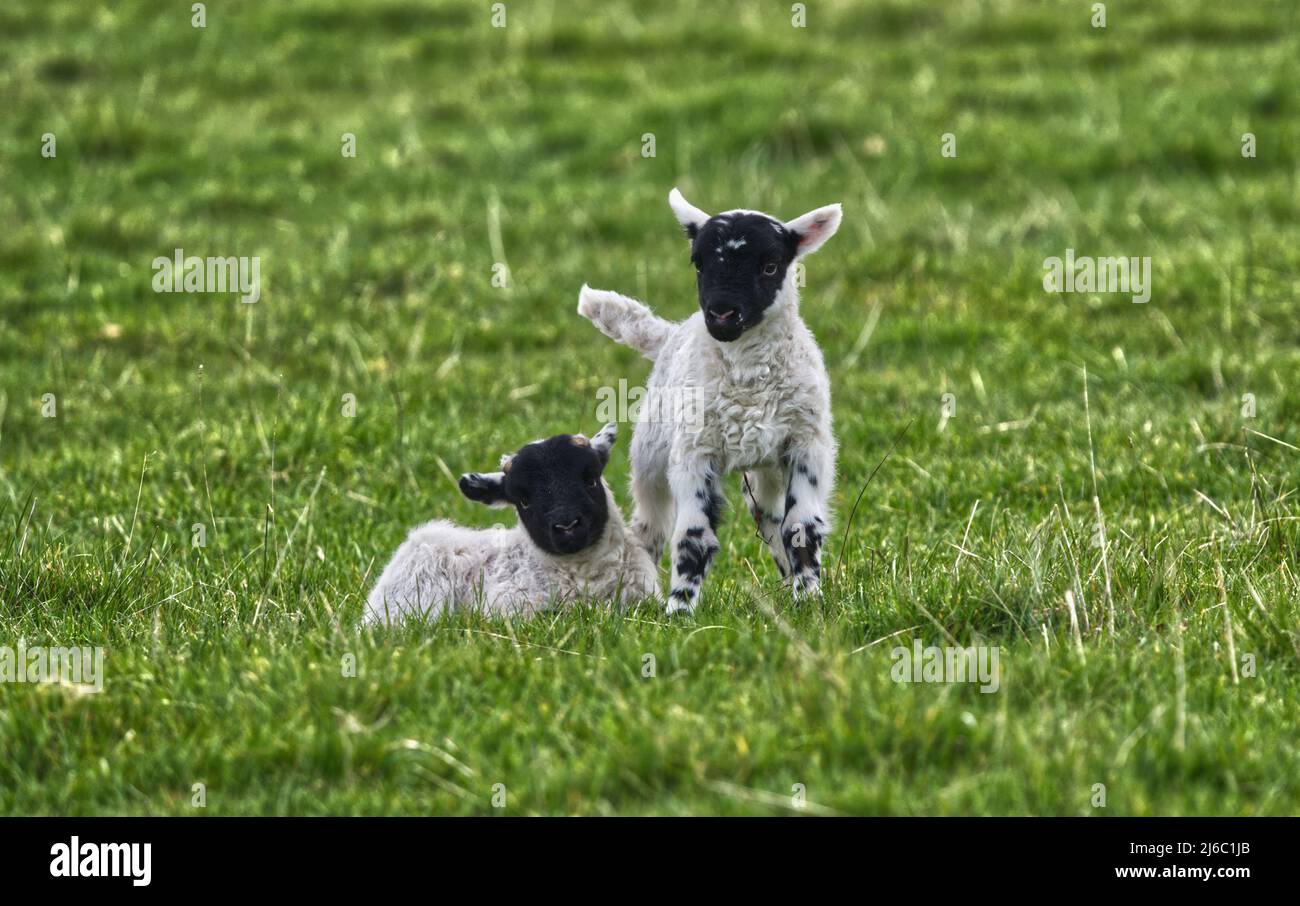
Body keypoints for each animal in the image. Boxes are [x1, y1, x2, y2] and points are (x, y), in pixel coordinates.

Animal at [577, 187, 842, 615]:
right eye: (698, 263)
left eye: (770, 266)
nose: (720, 314)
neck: (748, 377)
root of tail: (670, 334)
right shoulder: (694, 451)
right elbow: (692, 537)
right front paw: (680, 610)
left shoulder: (807, 444)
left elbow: (801, 528)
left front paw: (810, 599)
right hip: (652, 456)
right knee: (649, 527)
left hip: (766, 468)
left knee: (770, 518)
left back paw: (788, 583)